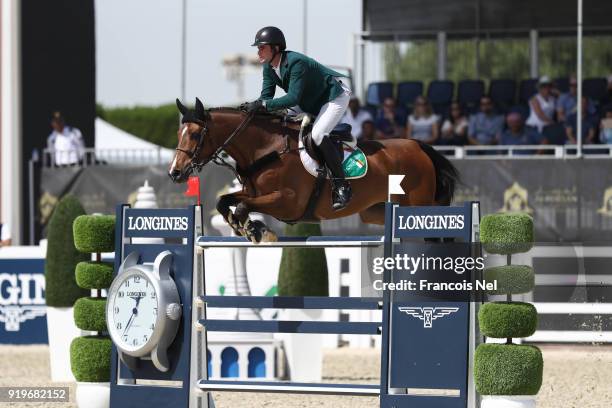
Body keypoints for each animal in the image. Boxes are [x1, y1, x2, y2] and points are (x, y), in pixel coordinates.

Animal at [169, 98, 460, 242]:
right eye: (179, 132)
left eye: (194, 135)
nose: (175, 173)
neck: (266, 148)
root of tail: (418, 147)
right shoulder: (253, 194)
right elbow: (225, 201)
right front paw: (245, 227)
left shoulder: (288, 202)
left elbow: (242, 206)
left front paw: (255, 230)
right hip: (375, 211)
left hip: (418, 205)